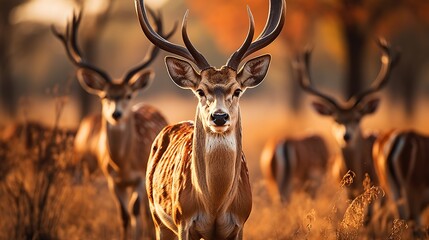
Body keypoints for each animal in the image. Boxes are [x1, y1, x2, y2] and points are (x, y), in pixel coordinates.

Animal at [51, 8, 176, 239]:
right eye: (104, 95)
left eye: (128, 95)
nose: (116, 114)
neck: (123, 165)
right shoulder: (111, 179)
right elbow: (124, 216)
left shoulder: (139, 177)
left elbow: (135, 212)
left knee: (145, 213)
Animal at [135, 0, 284, 238]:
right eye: (200, 91)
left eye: (237, 90)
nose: (219, 116)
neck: (214, 204)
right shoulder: (183, 221)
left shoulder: (240, 223)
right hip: (158, 218)